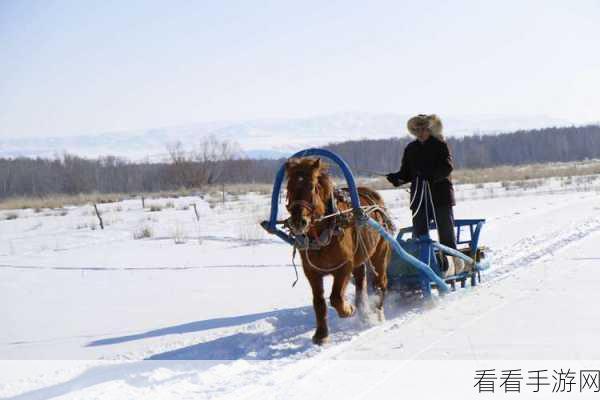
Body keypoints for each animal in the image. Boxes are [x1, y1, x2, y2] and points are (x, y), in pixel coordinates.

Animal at [286, 156, 394, 344]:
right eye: (288, 188)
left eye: (312, 187)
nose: (298, 222)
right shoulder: (311, 272)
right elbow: (319, 302)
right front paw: (321, 335)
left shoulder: (344, 267)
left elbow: (336, 298)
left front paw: (348, 310)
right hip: (360, 258)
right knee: (361, 283)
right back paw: (364, 313)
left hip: (380, 254)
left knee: (381, 283)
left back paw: (378, 314)